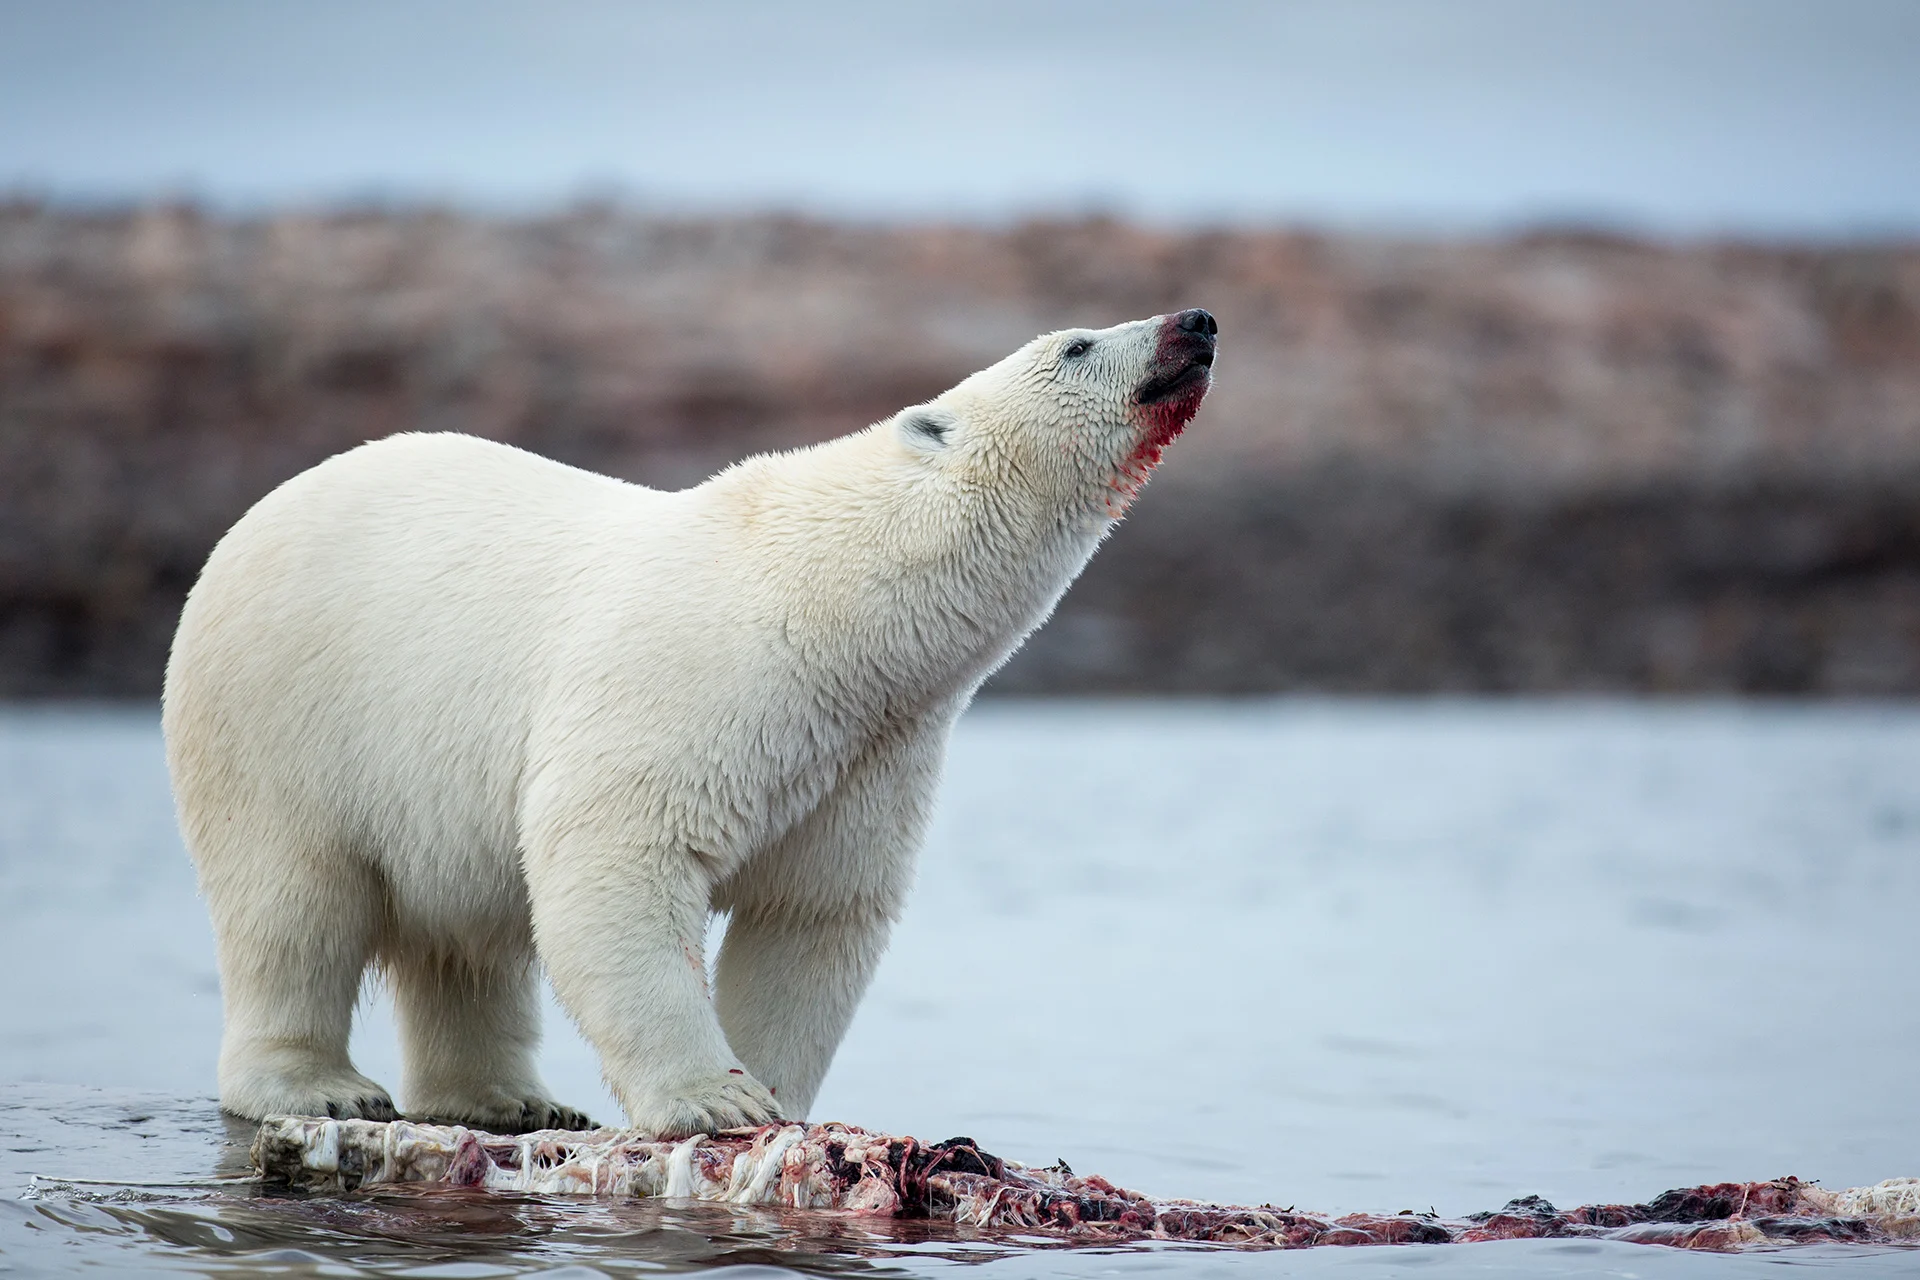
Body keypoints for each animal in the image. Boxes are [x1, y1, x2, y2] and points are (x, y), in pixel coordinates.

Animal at [161, 305, 1213, 1136]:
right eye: (1078, 344)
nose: (1196, 322)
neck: (833, 607)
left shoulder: (871, 750)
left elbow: (812, 915)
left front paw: (775, 1100)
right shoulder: (693, 680)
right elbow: (619, 860)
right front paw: (717, 1101)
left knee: (466, 939)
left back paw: (510, 1100)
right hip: (276, 716)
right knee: (292, 905)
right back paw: (322, 1088)